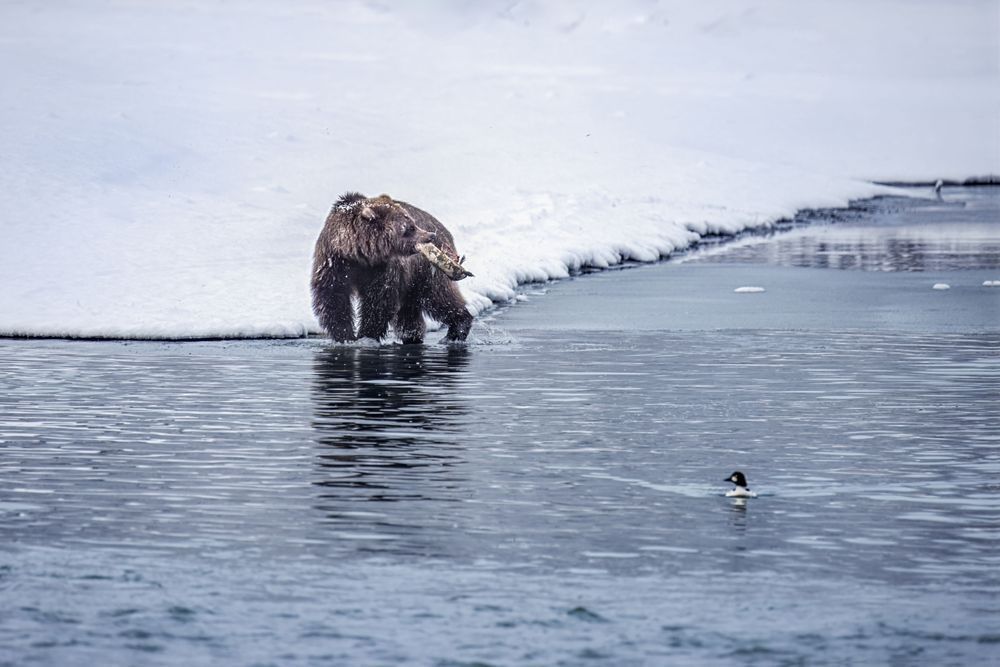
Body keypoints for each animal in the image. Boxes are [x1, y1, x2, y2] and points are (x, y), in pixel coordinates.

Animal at [311, 192, 474, 344]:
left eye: (412, 221)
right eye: (410, 227)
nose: (430, 236)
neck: (360, 254)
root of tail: (444, 230)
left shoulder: (383, 269)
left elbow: (378, 300)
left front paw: (367, 335)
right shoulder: (335, 263)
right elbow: (333, 297)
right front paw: (345, 335)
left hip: (425, 271)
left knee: (438, 297)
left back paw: (455, 331)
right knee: (410, 311)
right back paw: (411, 335)